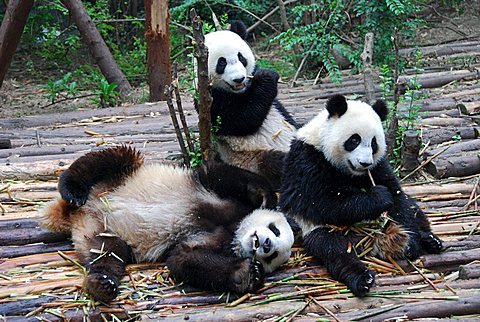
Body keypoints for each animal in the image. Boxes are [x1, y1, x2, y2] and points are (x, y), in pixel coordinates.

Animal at [40, 147, 296, 304]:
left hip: (98, 232)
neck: (237, 227)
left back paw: (101, 284)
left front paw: (249, 272)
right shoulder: (219, 191)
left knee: (107, 252)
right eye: (275, 229)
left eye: (273, 256)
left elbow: (183, 258)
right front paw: (266, 198)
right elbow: (216, 173)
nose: (265, 244)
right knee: (110, 160)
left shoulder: (217, 240)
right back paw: (73, 189)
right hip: (118, 178)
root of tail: (82, 212)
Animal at [202, 21, 296, 190]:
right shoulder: (212, 100)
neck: (240, 91)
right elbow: (243, 120)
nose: (239, 79)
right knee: (280, 164)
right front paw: (267, 77)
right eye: (221, 62)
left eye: (241, 57)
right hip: (253, 159)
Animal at [280, 94, 444, 296]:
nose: (365, 163)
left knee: (413, 207)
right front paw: (378, 197)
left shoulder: (378, 165)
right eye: (354, 140)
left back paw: (429, 240)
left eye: (374, 143)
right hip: (317, 229)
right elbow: (320, 203)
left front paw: (411, 244)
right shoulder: (307, 160)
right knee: (334, 249)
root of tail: (369, 244)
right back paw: (362, 278)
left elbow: (397, 197)